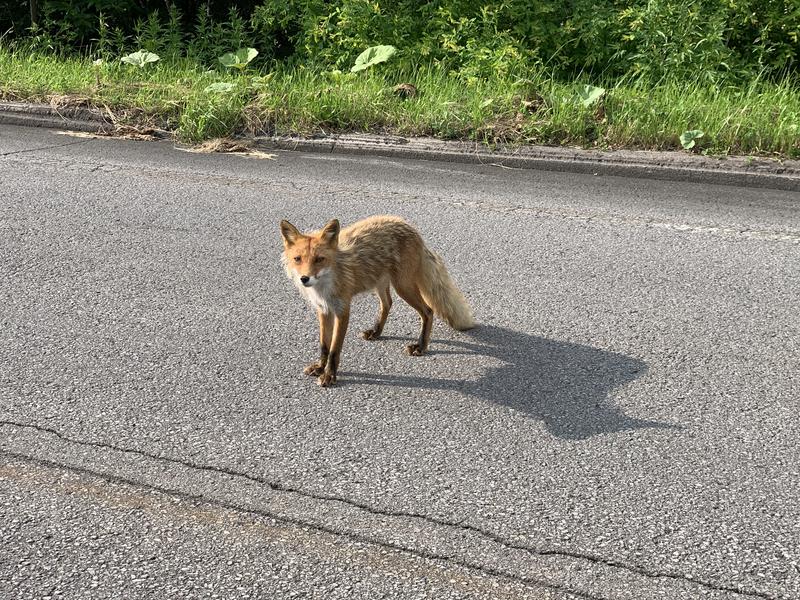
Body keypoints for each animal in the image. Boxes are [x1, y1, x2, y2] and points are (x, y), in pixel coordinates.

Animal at [280, 216, 476, 390]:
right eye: (297, 259)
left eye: (319, 259)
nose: (304, 279)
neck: (325, 286)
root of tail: (410, 227)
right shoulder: (324, 310)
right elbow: (324, 347)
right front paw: (320, 367)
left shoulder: (343, 310)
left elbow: (334, 349)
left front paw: (329, 375)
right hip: (380, 283)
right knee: (388, 303)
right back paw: (376, 331)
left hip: (403, 286)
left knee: (427, 311)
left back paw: (421, 346)